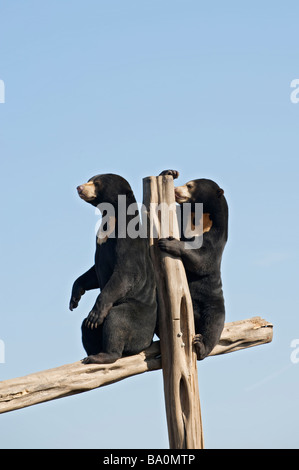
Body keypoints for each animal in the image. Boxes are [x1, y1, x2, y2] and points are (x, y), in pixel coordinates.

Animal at [69, 173, 158, 364]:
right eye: (90, 179)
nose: (79, 187)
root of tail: (147, 342)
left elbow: (124, 275)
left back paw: (103, 355)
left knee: (116, 320)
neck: (112, 219)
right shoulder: (100, 241)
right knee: (87, 328)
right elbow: (93, 274)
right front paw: (74, 299)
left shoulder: (127, 242)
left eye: (97, 183)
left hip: (136, 319)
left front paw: (96, 312)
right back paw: (91, 354)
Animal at [158, 171, 229, 362]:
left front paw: (169, 243)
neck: (199, 216)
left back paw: (200, 345)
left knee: (214, 325)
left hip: (213, 302)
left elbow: (203, 259)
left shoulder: (216, 235)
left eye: (190, 186)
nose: (176, 190)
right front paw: (168, 172)